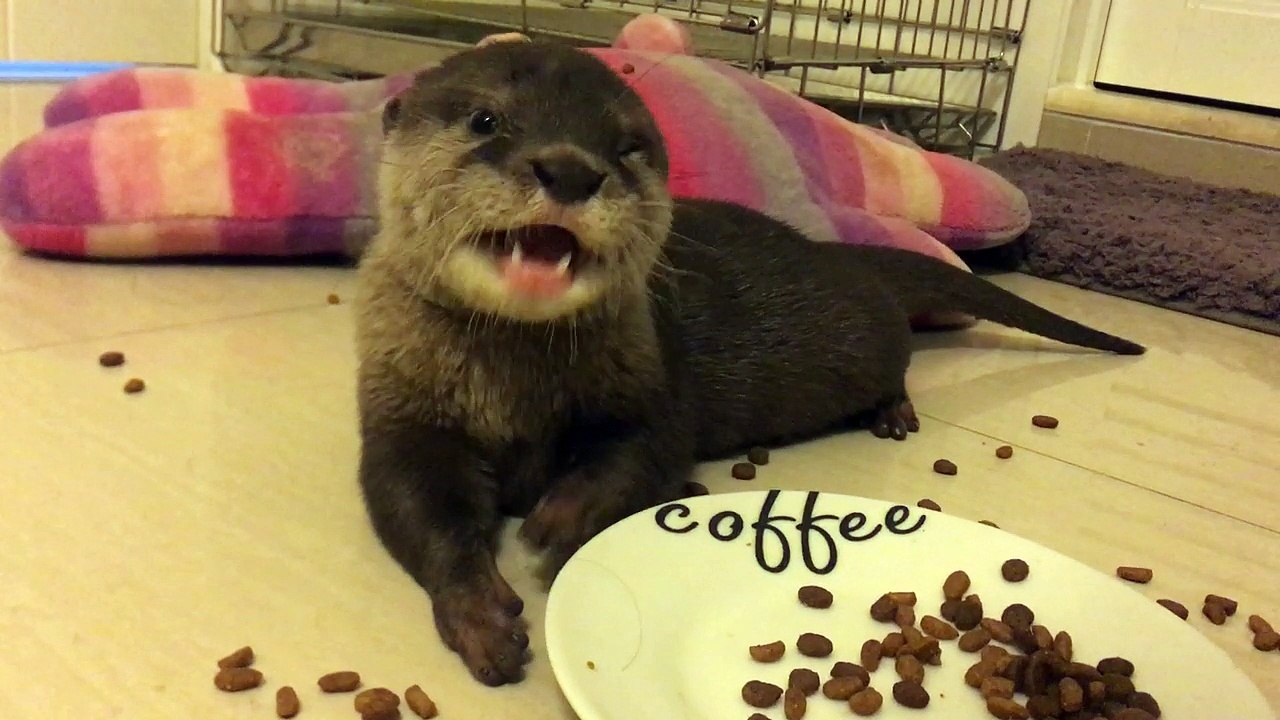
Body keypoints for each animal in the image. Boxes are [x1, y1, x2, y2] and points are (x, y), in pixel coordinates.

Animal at [354, 41, 1142, 687]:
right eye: (485, 119)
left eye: (626, 146)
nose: (570, 169)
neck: (516, 394)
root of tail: (840, 255)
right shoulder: (401, 412)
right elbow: (419, 509)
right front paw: (481, 617)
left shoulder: (652, 380)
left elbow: (639, 454)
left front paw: (555, 519)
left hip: (868, 335)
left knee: (897, 360)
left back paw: (893, 413)